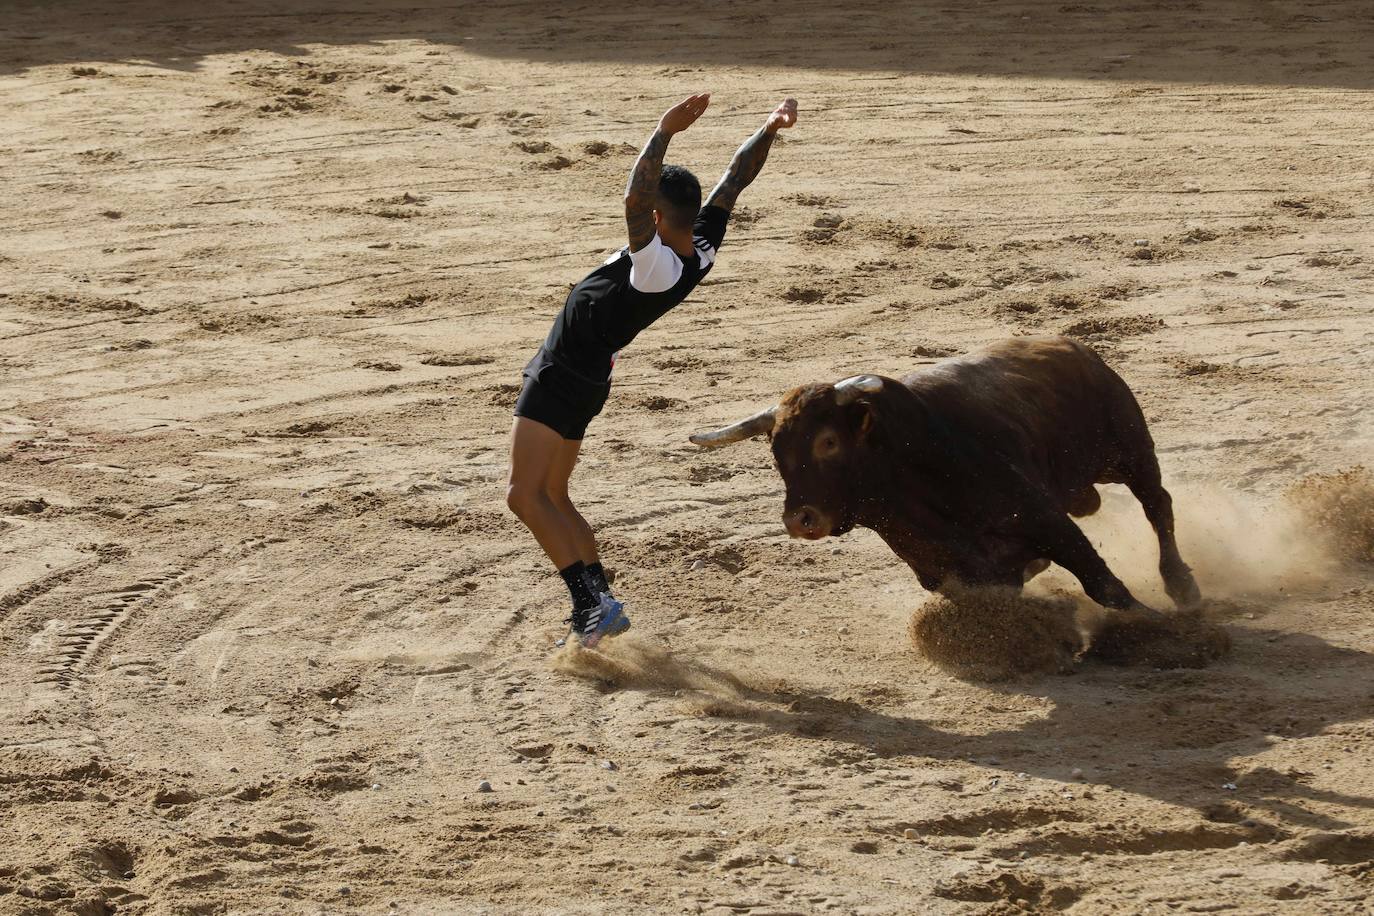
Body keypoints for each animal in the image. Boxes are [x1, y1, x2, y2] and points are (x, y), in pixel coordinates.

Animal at [692, 336, 1198, 615]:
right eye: (775, 450)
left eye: (828, 442)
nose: (800, 520)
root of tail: (1074, 347)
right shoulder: (949, 574)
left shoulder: (1047, 520)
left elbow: (1103, 584)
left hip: (1130, 451)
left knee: (1158, 505)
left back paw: (1182, 586)